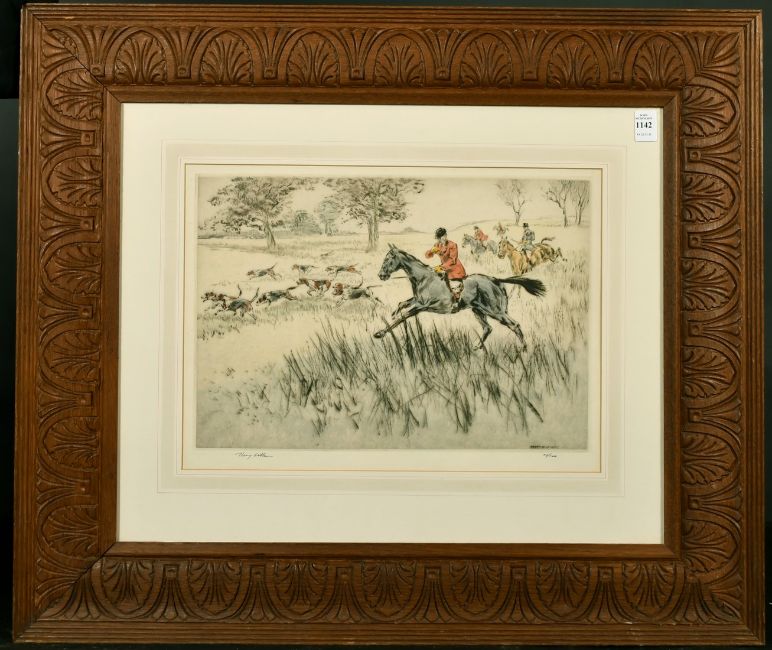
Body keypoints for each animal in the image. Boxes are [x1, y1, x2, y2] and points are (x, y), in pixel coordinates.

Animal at [376, 244, 545, 349]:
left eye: (388, 259)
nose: (381, 275)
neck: (424, 278)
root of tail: (495, 280)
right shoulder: (417, 300)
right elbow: (401, 304)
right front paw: (392, 314)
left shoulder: (422, 305)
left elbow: (402, 317)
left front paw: (380, 333)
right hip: (478, 310)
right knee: (488, 328)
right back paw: (477, 346)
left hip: (495, 311)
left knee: (514, 325)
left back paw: (523, 349)